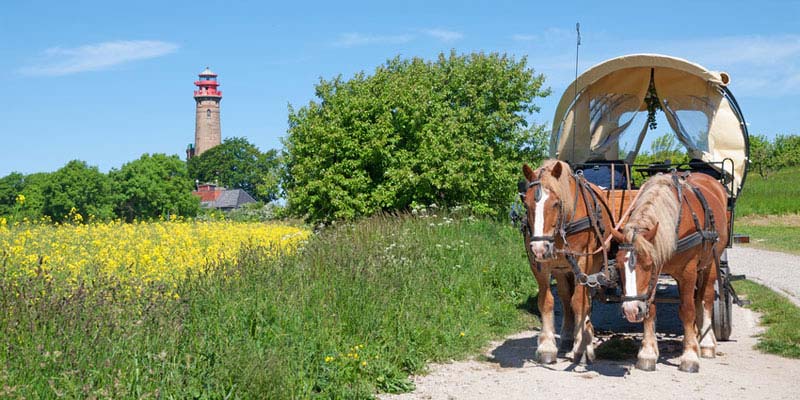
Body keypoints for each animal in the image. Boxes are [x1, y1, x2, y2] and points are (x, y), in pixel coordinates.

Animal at [520, 159, 620, 362]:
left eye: (556, 203)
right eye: (526, 205)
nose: (539, 248)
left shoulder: (583, 261)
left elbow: (579, 302)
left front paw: (581, 343)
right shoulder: (539, 265)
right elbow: (547, 301)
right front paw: (547, 346)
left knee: (585, 298)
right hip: (561, 269)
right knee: (566, 298)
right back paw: (567, 336)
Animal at [608, 172, 728, 372]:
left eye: (648, 264)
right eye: (617, 266)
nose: (631, 310)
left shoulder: (687, 270)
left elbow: (687, 310)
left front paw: (690, 356)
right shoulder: (656, 275)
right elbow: (650, 309)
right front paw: (648, 353)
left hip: (711, 262)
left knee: (706, 299)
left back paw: (706, 343)